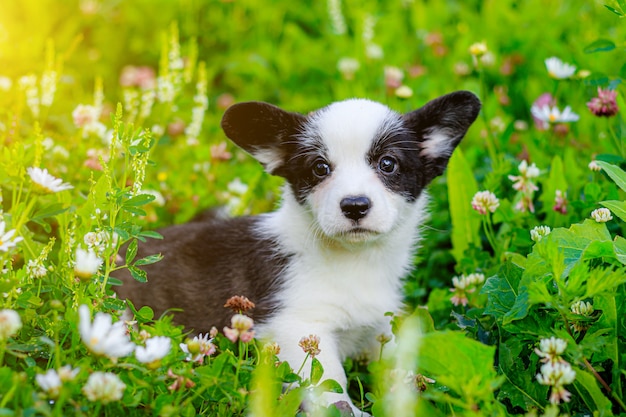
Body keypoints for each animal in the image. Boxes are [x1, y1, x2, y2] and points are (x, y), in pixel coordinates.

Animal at [114, 91, 480, 412]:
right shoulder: (296, 326)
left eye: (387, 164)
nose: (355, 206)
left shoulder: (380, 328)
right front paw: (349, 411)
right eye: (319, 168)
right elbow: (329, 382)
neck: (354, 259)